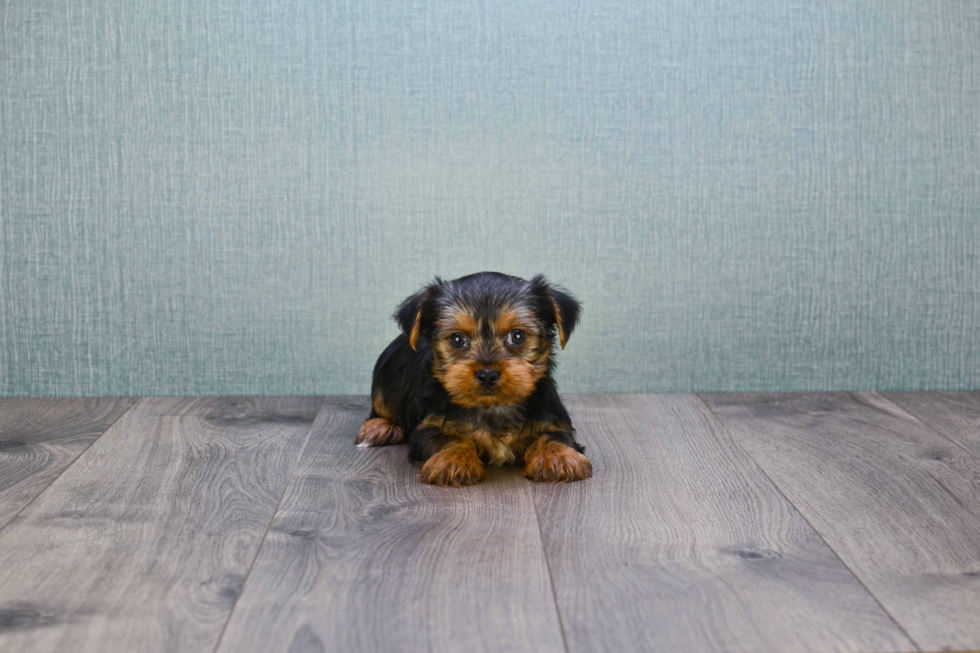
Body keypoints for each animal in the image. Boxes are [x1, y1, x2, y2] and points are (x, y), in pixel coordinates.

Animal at [358, 268, 592, 486]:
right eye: (457, 339)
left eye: (517, 336)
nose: (487, 374)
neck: (494, 407)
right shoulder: (429, 426)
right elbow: (449, 437)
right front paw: (454, 460)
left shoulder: (554, 419)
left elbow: (556, 435)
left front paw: (557, 457)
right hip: (382, 384)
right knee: (380, 408)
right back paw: (378, 428)